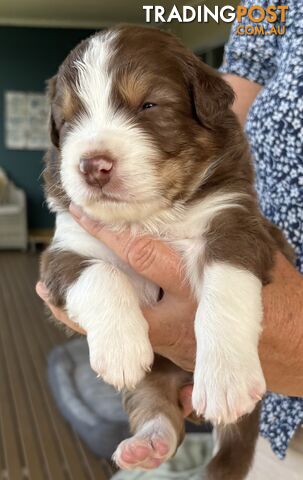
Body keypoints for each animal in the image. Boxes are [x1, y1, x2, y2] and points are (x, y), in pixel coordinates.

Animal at [41, 26, 290, 480]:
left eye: (149, 105)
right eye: (68, 120)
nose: (92, 165)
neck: (148, 219)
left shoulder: (235, 224)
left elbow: (224, 293)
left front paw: (225, 378)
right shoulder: (65, 249)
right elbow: (99, 275)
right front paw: (120, 348)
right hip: (155, 373)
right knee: (155, 405)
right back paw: (147, 445)